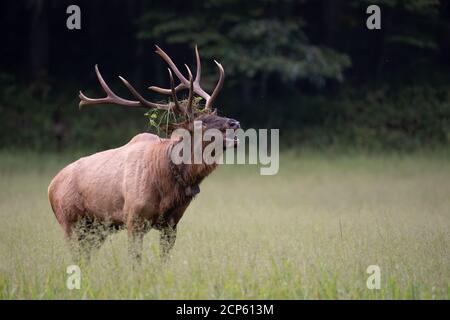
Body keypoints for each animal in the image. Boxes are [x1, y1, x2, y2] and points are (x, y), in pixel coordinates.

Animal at [47, 45, 241, 262]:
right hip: (69, 222)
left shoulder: (172, 224)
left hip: (96, 229)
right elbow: (135, 261)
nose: (234, 122)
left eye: (215, 114)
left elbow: (164, 261)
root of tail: (51, 187)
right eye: (201, 124)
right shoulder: (134, 218)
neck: (167, 186)